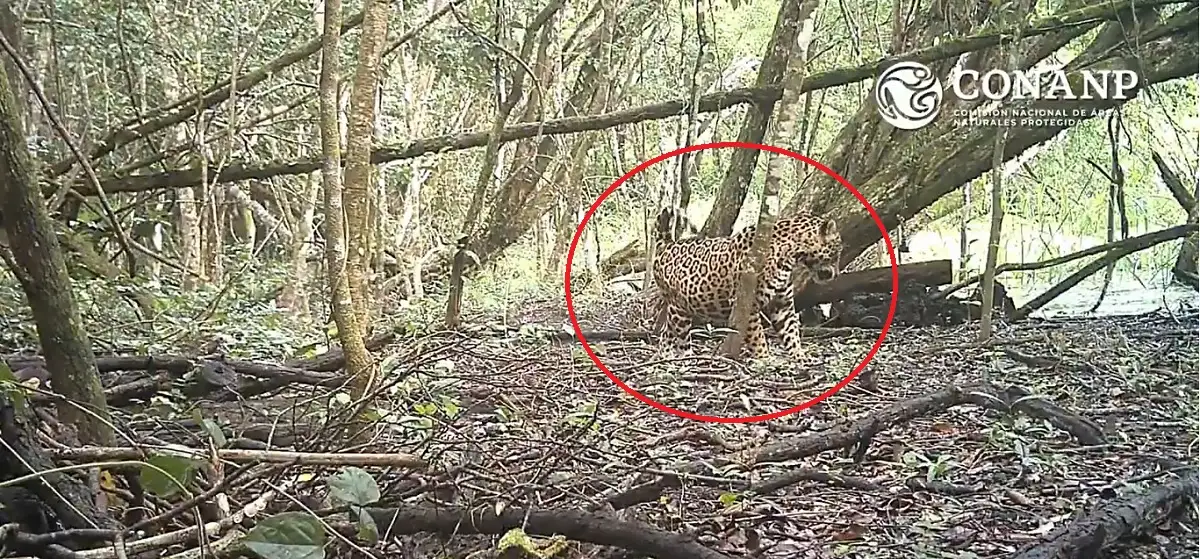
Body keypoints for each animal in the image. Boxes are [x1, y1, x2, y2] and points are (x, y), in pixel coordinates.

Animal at [650, 206, 842, 360]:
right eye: (838, 251)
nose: (837, 273)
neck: (791, 255)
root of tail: (667, 244)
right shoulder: (747, 302)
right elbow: (757, 336)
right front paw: (764, 359)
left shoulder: (782, 304)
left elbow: (791, 331)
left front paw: (800, 356)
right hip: (679, 309)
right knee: (676, 335)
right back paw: (680, 358)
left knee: (667, 332)